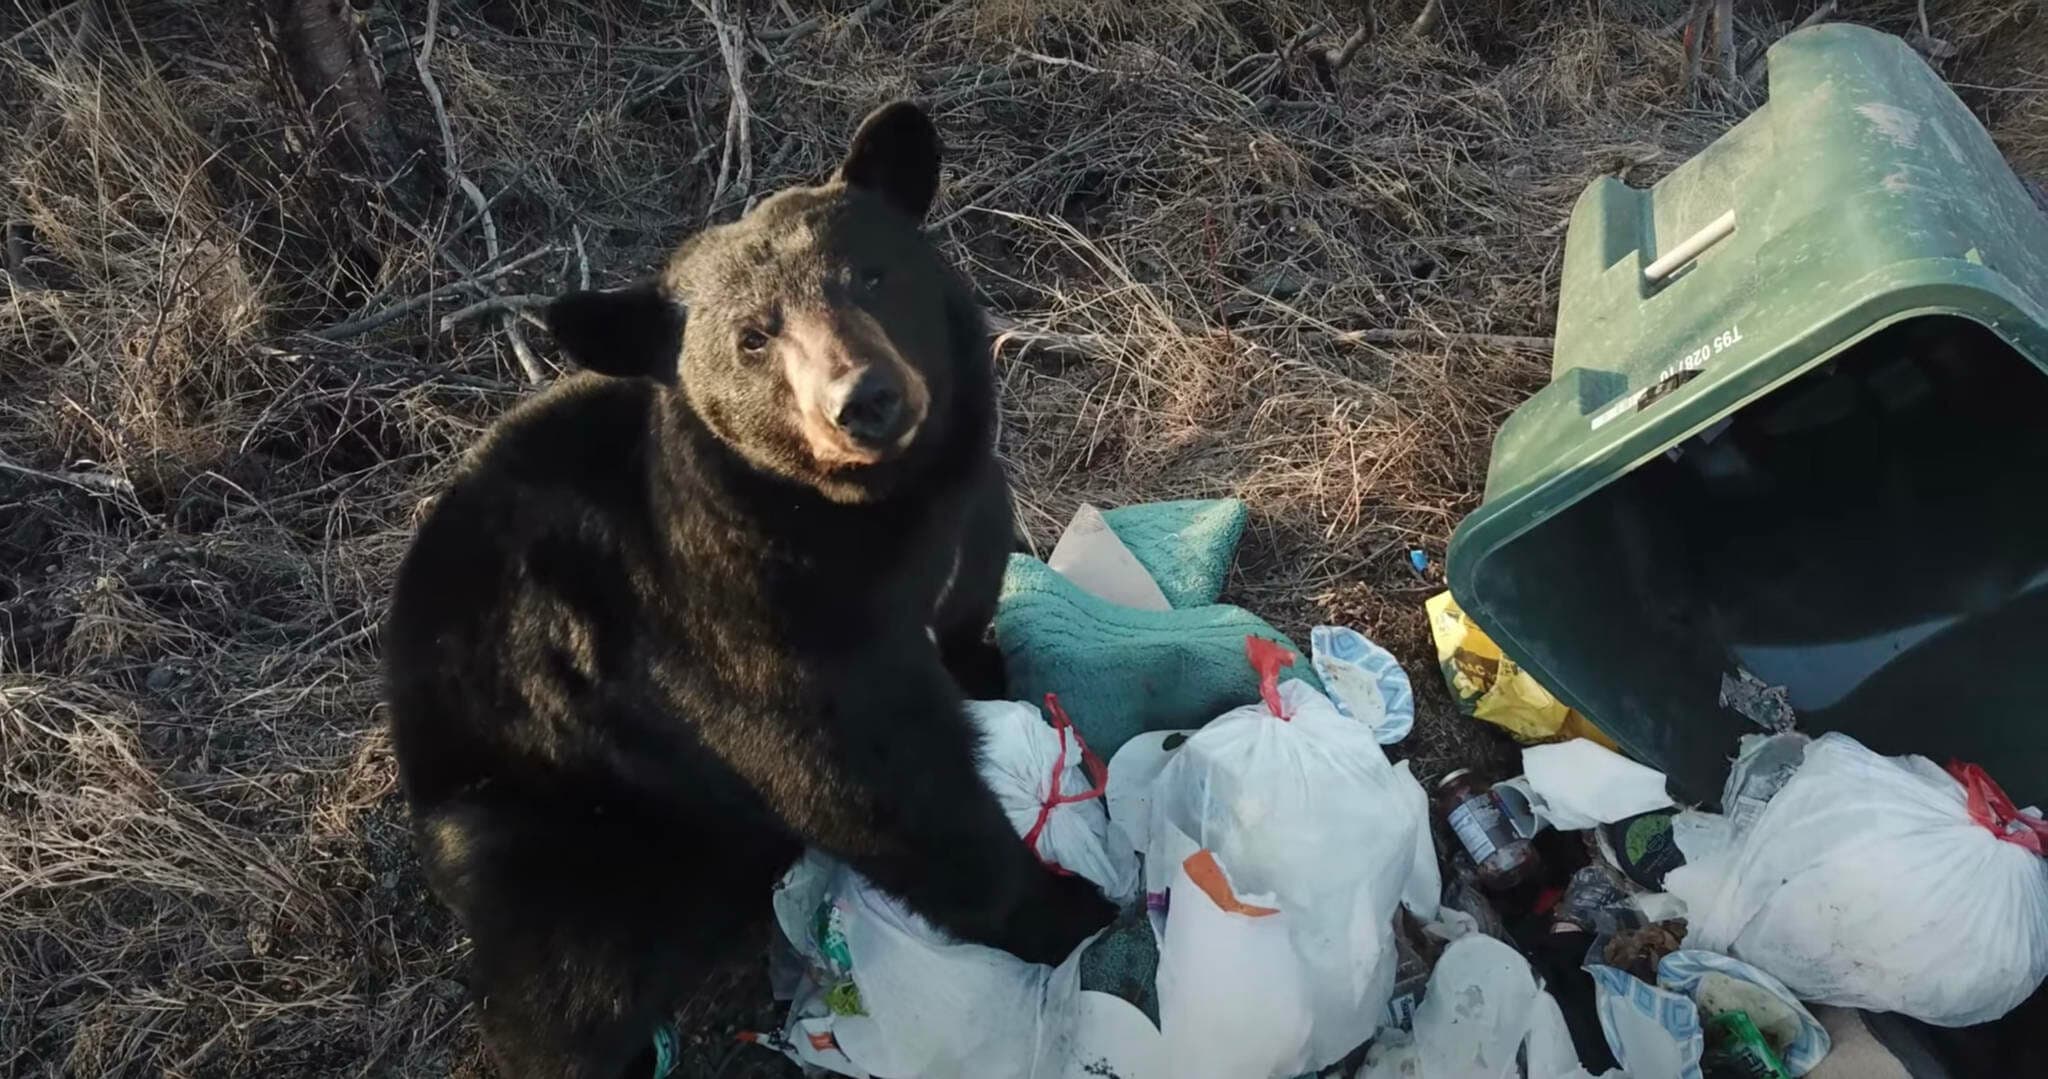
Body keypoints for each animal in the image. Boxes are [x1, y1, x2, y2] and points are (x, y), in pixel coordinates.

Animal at [381, 102, 1116, 1079]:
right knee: (571, 983)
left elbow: (968, 618)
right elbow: (878, 786)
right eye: (752, 338)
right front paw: (1074, 909)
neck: (876, 519)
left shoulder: (969, 522)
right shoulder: (751, 629)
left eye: (871, 273)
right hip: (546, 821)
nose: (865, 398)